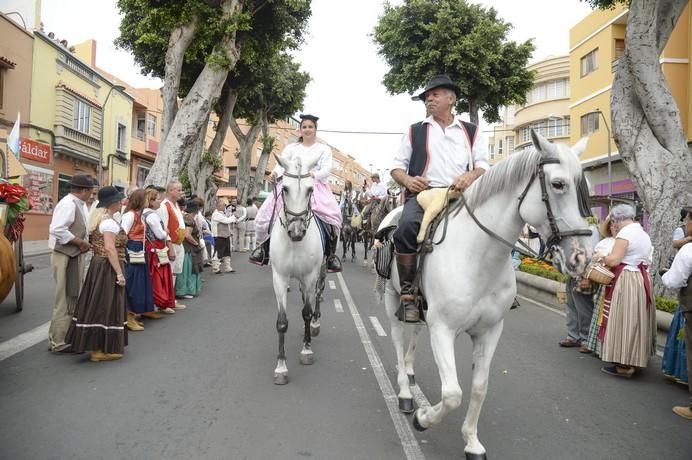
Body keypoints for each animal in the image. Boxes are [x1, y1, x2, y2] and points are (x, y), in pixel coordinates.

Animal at [268, 155, 326, 384]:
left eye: (310, 189)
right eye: (284, 188)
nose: (296, 231)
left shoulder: (310, 276)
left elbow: (307, 313)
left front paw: (306, 351)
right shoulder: (279, 278)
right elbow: (282, 322)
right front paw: (281, 367)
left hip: (319, 272)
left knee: (317, 295)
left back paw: (315, 326)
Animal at [382, 131, 592, 458]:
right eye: (558, 184)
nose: (582, 258)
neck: (478, 257)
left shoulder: (490, 330)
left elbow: (479, 388)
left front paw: (471, 440)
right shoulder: (442, 329)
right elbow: (453, 393)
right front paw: (423, 417)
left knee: (412, 335)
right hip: (393, 296)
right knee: (397, 338)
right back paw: (405, 392)